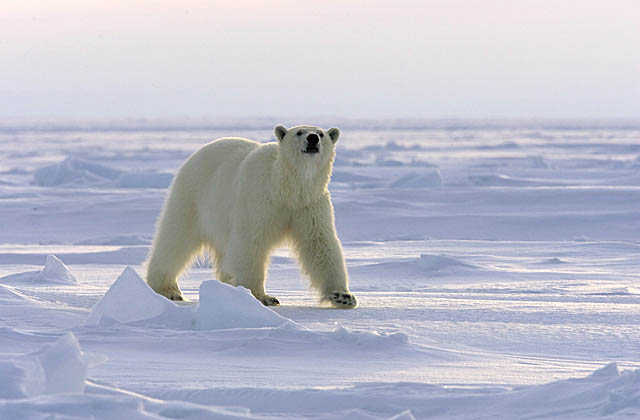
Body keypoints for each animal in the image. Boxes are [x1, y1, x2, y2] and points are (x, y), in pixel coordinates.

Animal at [146, 124, 358, 308]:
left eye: (321, 133)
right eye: (299, 132)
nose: (312, 138)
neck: (286, 188)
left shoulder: (309, 204)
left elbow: (319, 243)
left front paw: (343, 296)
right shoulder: (260, 199)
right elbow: (250, 242)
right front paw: (260, 296)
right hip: (192, 196)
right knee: (176, 239)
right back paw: (167, 289)